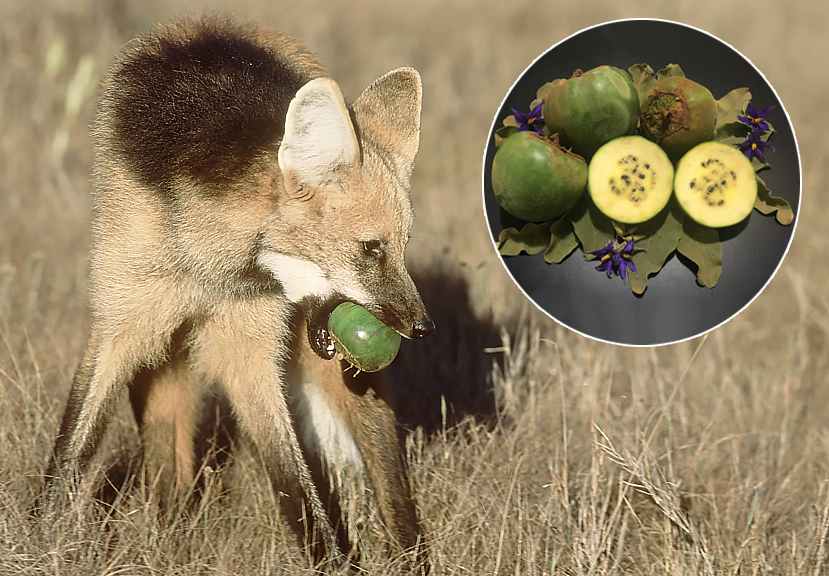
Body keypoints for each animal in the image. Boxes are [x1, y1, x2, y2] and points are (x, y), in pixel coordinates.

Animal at [40, 15, 435, 569]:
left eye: (401, 248)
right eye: (370, 248)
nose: (422, 326)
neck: (210, 264)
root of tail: (208, 23)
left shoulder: (247, 348)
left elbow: (296, 487)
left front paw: (334, 562)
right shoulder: (126, 320)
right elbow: (71, 448)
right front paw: (39, 542)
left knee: (390, 483)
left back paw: (409, 555)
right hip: (163, 350)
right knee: (168, 457)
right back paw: (169, 538)